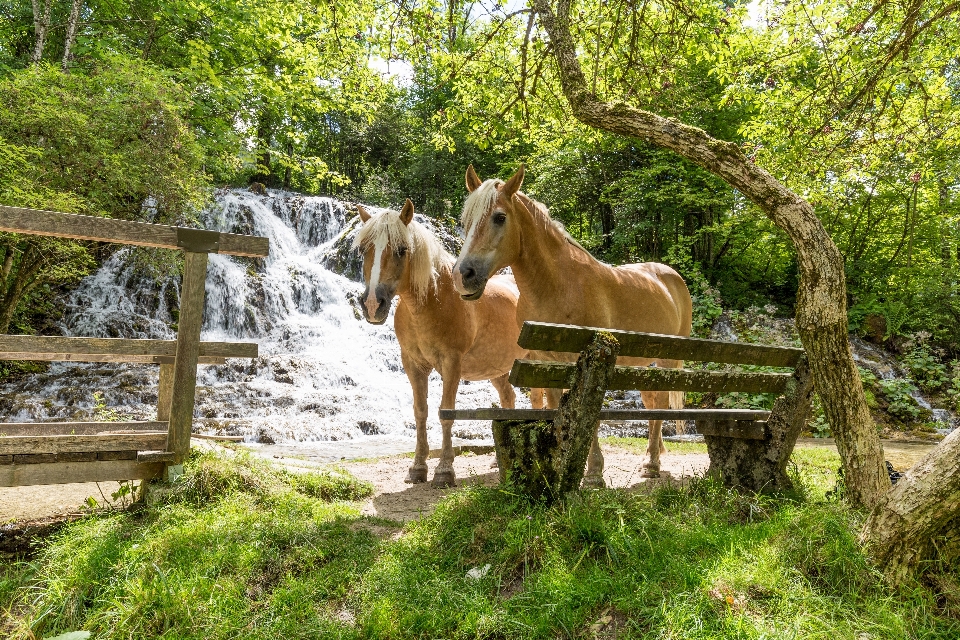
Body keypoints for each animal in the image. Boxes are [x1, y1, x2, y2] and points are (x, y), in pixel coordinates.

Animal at [352, 198, 540, 488]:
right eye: (364, 250)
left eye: (402, 250)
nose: (373, 304)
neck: (432, 301)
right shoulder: (413, 365)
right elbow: (420, 412)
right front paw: (418, 468)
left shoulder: (452, 364)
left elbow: (446, 411)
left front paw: (444, 470)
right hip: (498, 369)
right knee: (508, 397)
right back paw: (498, 461)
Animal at [450, 166, 688, 484]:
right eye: (465, 221)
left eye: (499, 217)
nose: (463, 275)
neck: (559, 286)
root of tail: (671, 276)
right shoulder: (544, 361)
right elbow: (554, 409)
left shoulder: (590, 359)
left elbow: (590, 416)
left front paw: (594, 472)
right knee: (651, 402)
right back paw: (654, 456)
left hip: (667, 360)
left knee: (660, 403)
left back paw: (651, 464)